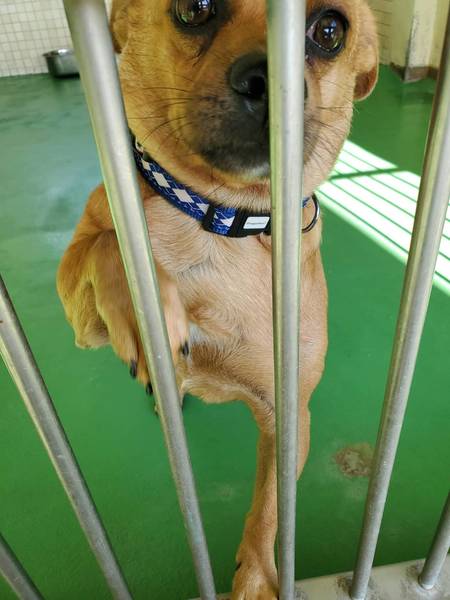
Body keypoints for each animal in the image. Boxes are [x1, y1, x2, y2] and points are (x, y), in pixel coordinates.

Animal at [57, 1, 378, 597]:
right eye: (194, 7)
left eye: (329, 30)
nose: (269, 80)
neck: (221, 218)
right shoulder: (78, 307)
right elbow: (112, 243)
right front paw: (149, 316)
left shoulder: (287, 421)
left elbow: (270, 510)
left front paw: (253, 578)